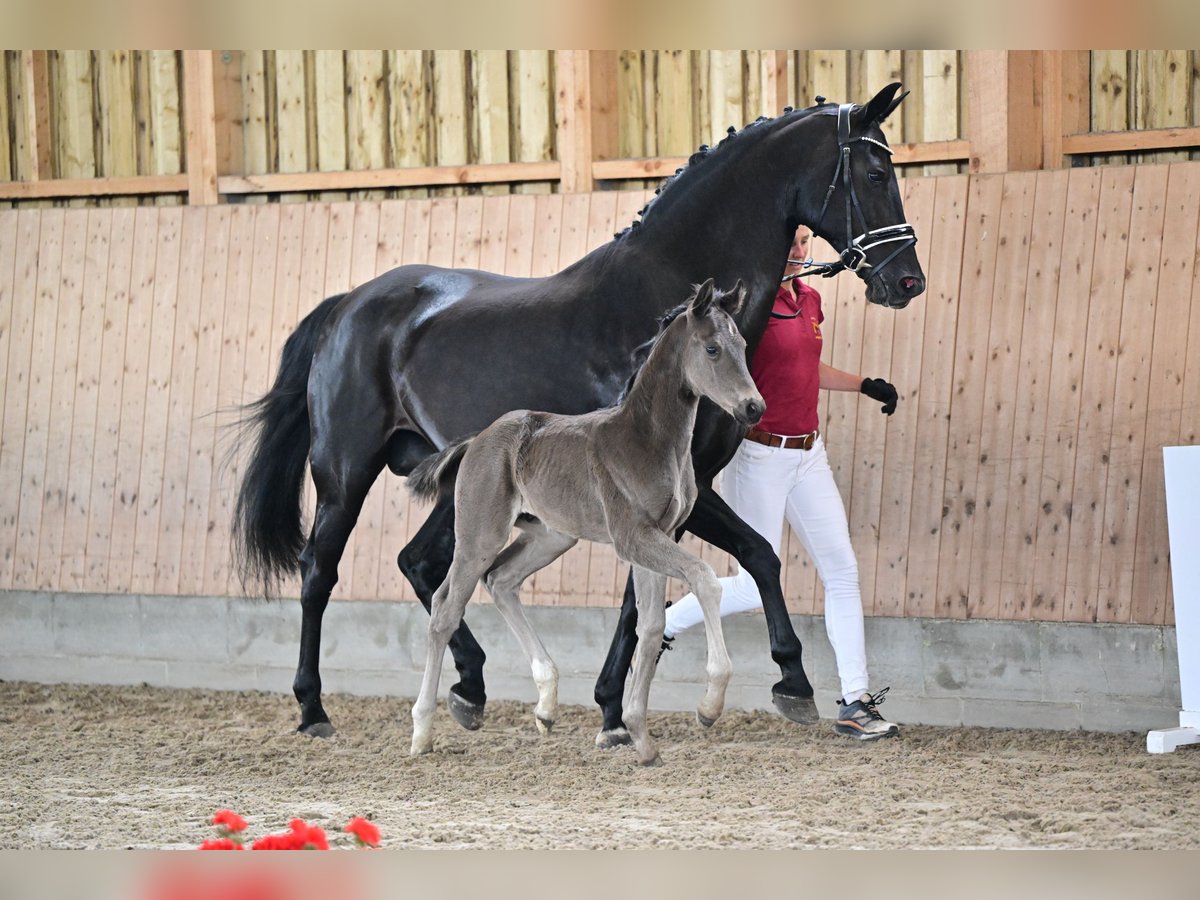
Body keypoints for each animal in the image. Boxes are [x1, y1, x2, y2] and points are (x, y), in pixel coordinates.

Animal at [408, 278, 763, 763]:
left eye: (742, 345)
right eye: (711, 349)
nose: (754, 408)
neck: (648, 441)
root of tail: (478, 439)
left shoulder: (659, 536)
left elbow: (650, 626)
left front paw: (639, 736)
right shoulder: (633, 537)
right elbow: (704, 579)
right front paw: (708, 706)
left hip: (551, 537)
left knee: (501, 580)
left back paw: (545, 704)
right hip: (480, 535)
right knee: (446, 609)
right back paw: (422, 732)